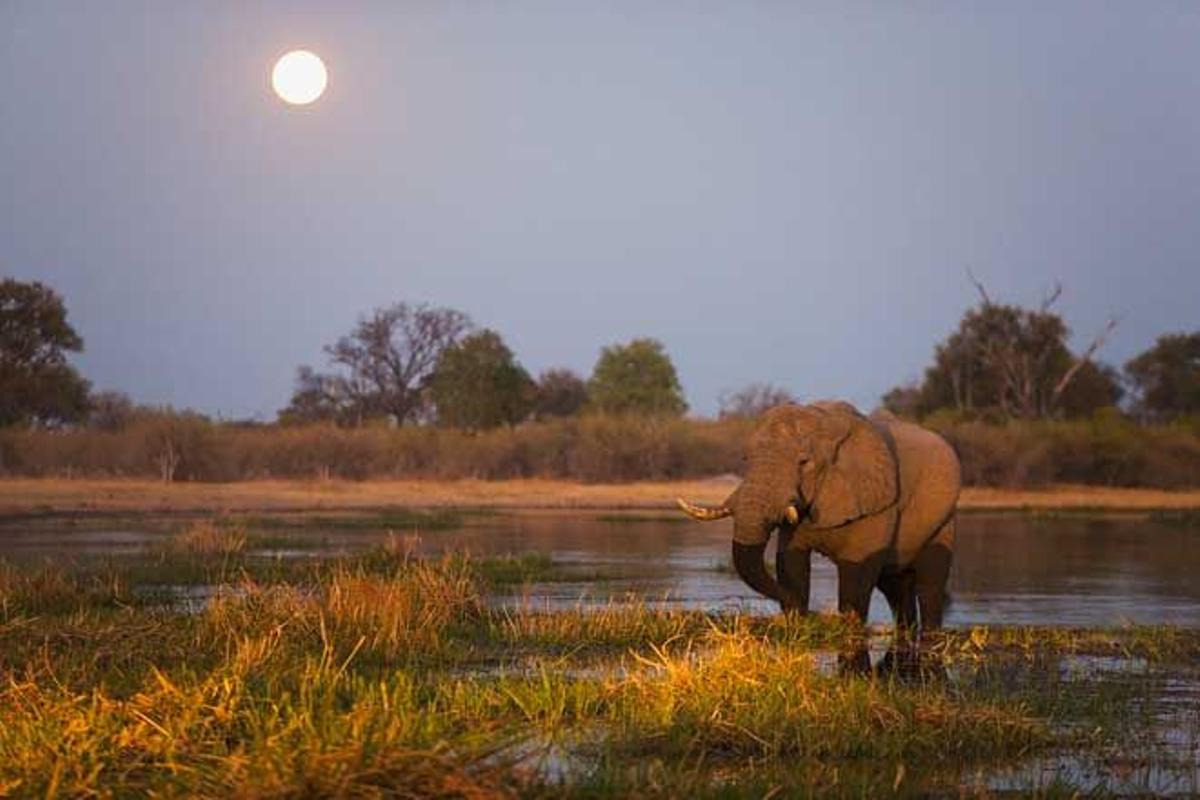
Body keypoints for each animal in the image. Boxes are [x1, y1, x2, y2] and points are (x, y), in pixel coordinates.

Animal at [681, 402, 960, 633]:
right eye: (746, 458)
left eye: (804, 462)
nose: (814, 614)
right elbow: (790, 561)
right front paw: (796, 618)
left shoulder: (880, 505)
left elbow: (858, 570)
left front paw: (847, 628)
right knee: (895, 586)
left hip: (943, 522)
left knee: (930, 585)